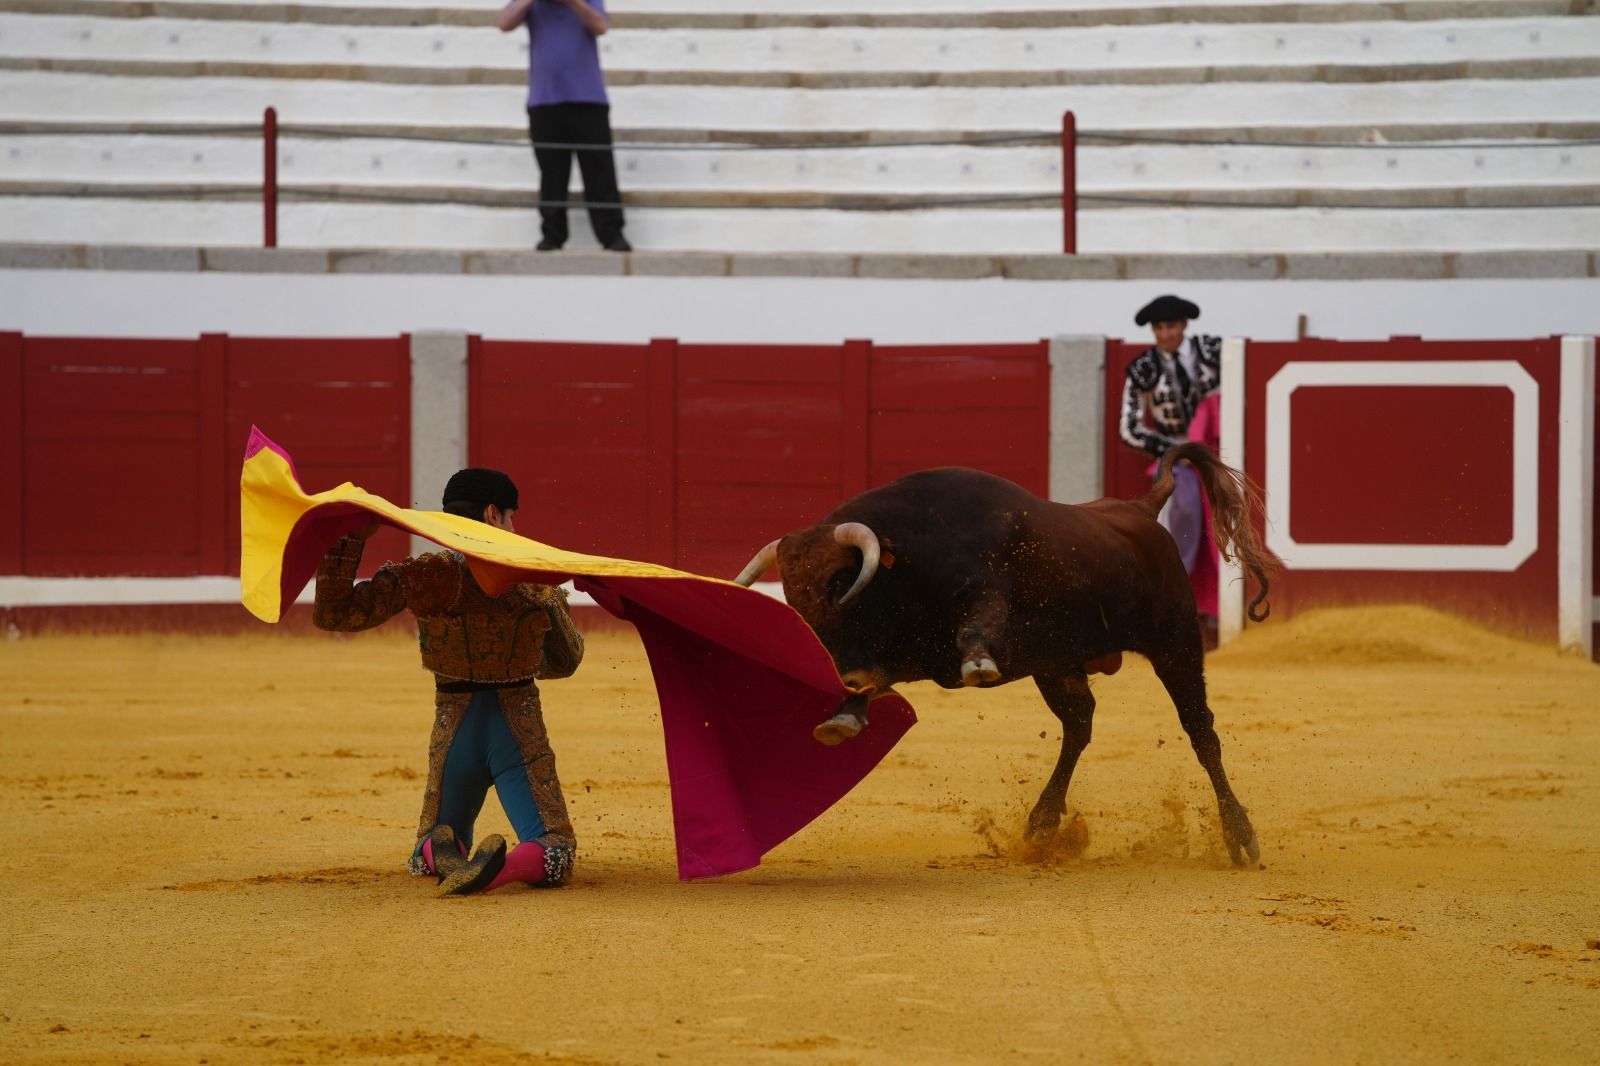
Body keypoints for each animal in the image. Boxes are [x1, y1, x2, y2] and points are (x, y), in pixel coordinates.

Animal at [732, 438, 1273, 864]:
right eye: (792, 596)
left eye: (839, 583)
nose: (825, 663)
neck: (912, 554)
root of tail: (1140, 510)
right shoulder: (907, 654)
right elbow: (875, 681)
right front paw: (843, 716)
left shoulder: (984, 594)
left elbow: (979, 624)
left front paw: (977, 665)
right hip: (1055, 665)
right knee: (1079, 725)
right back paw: (1042, 825)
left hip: (1175, 642)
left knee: (1200, 731)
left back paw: (1240, 836)